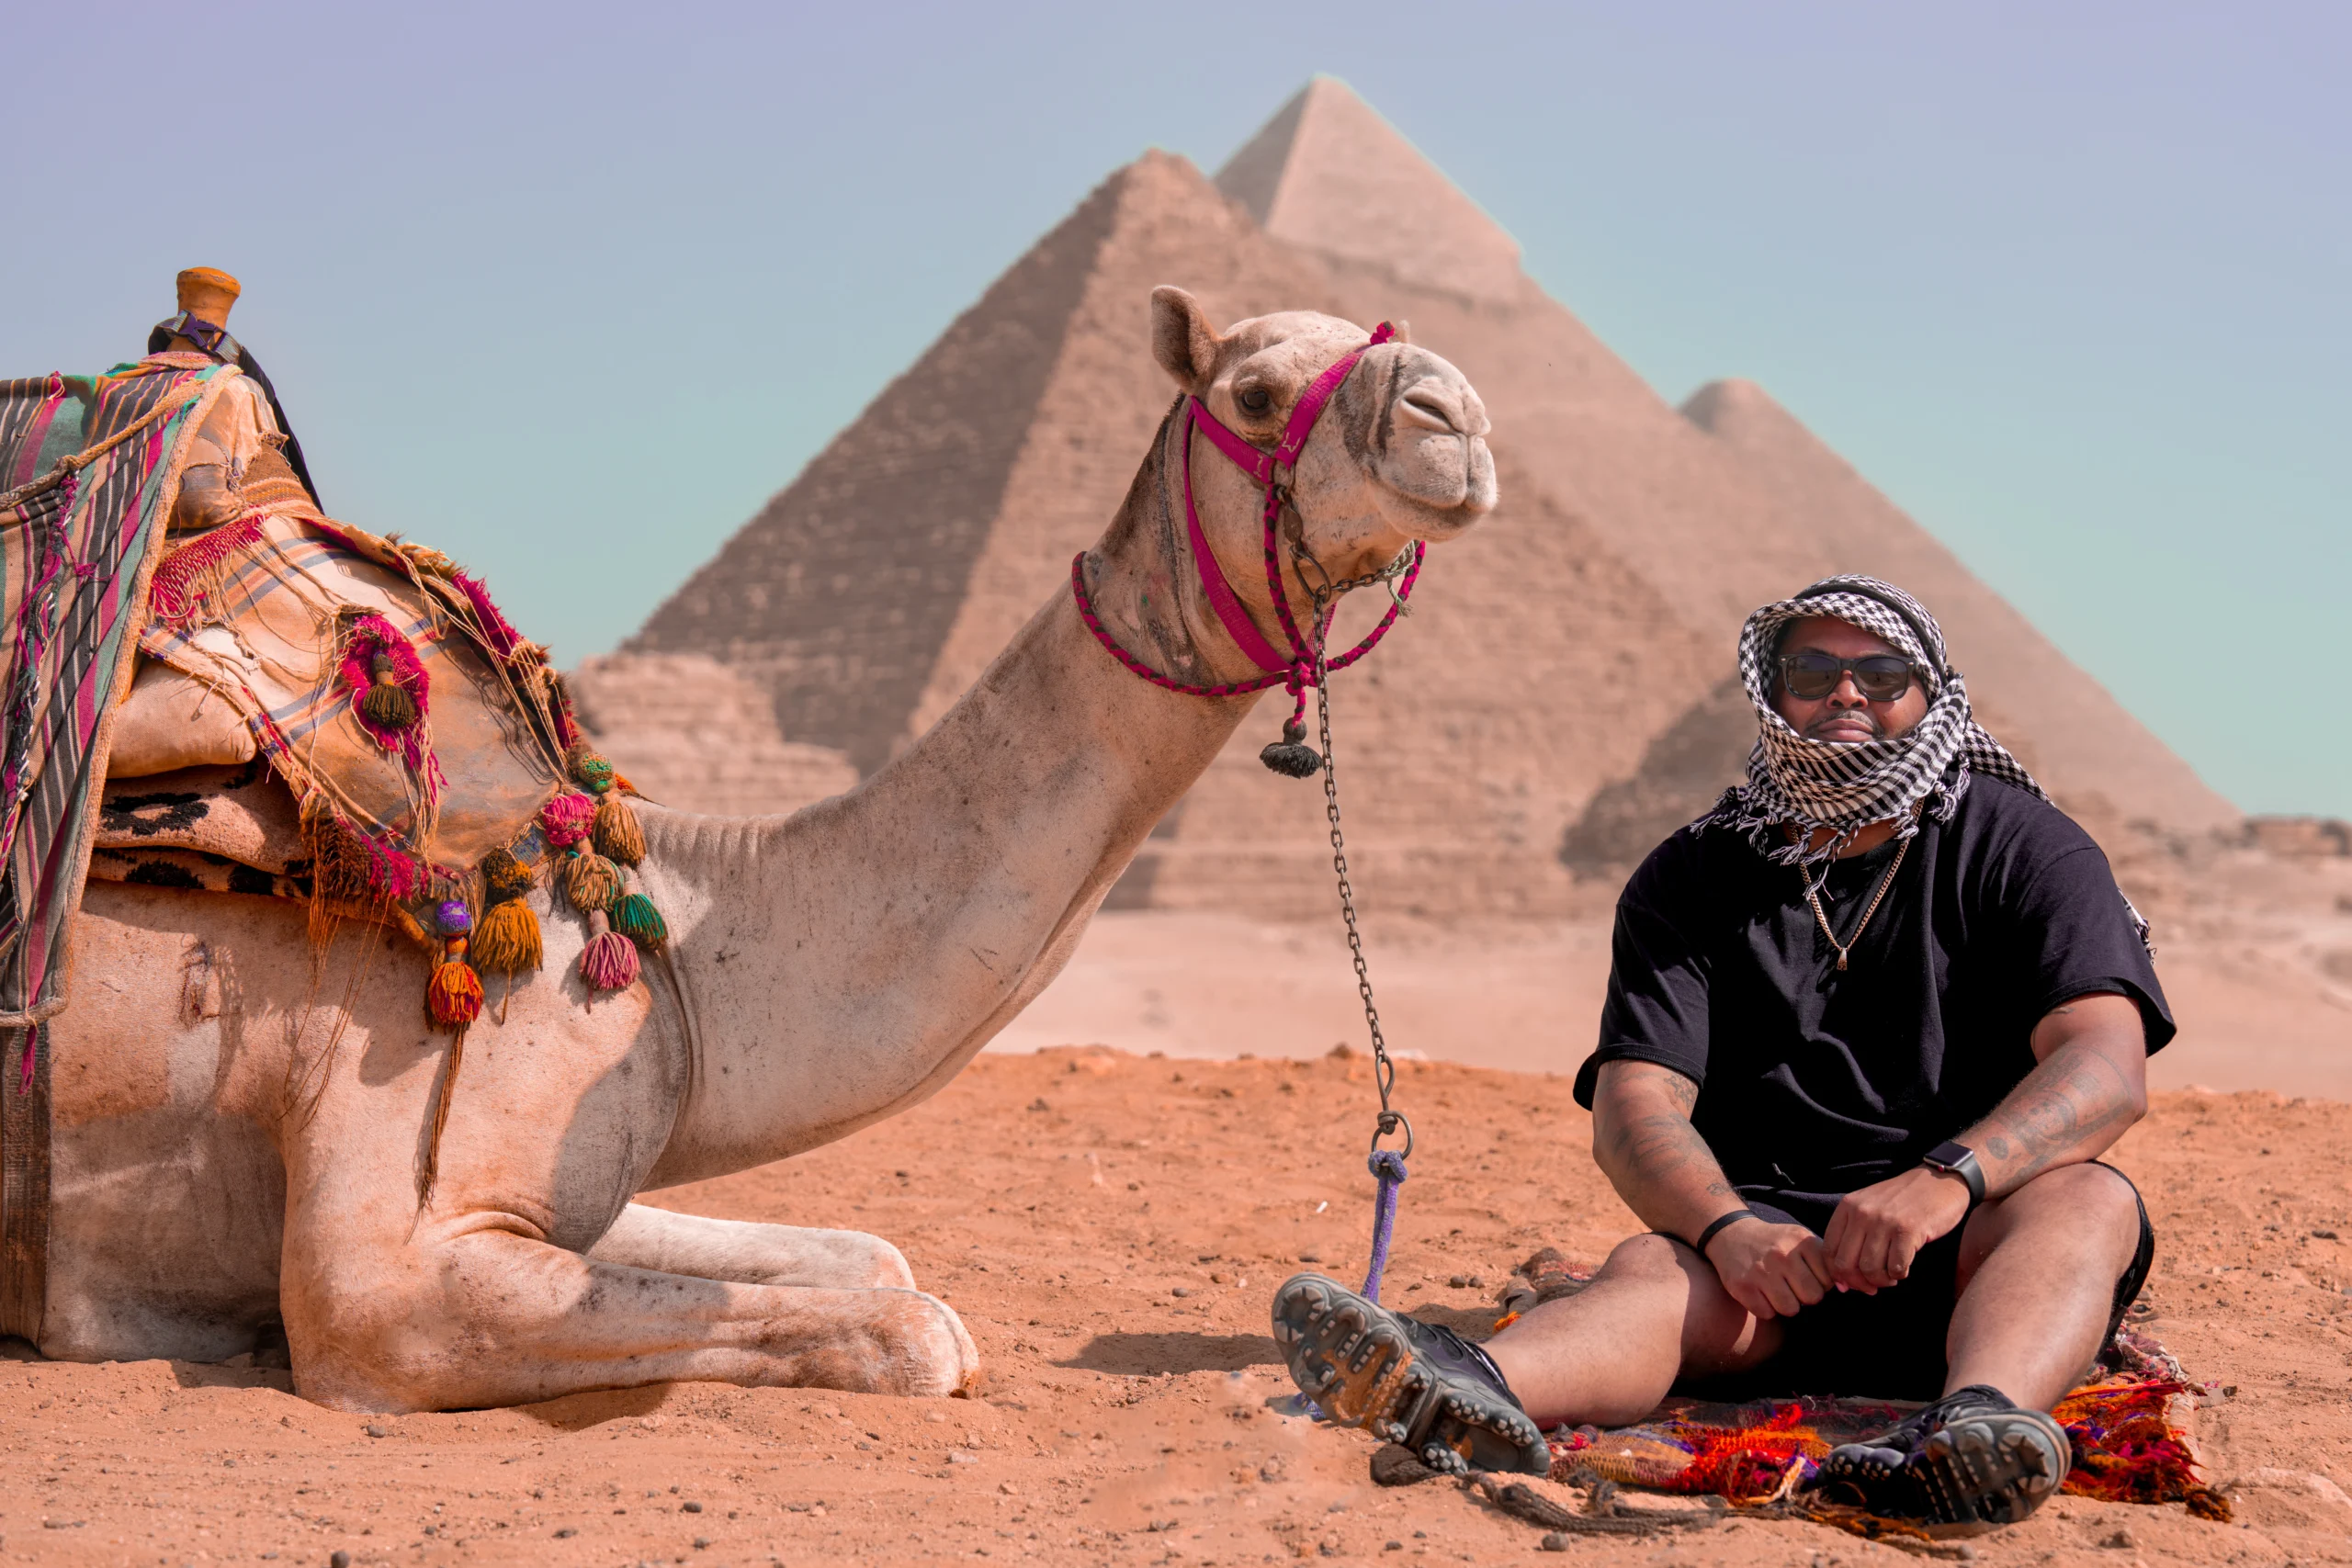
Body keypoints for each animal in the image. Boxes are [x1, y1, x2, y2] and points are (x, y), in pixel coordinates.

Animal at [30, 287, 1495, 1411]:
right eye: (1253, 392)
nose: (1457, 416)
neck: (669, 922)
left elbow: (874, 1255)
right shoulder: (377, 1275)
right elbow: (921, 1328)